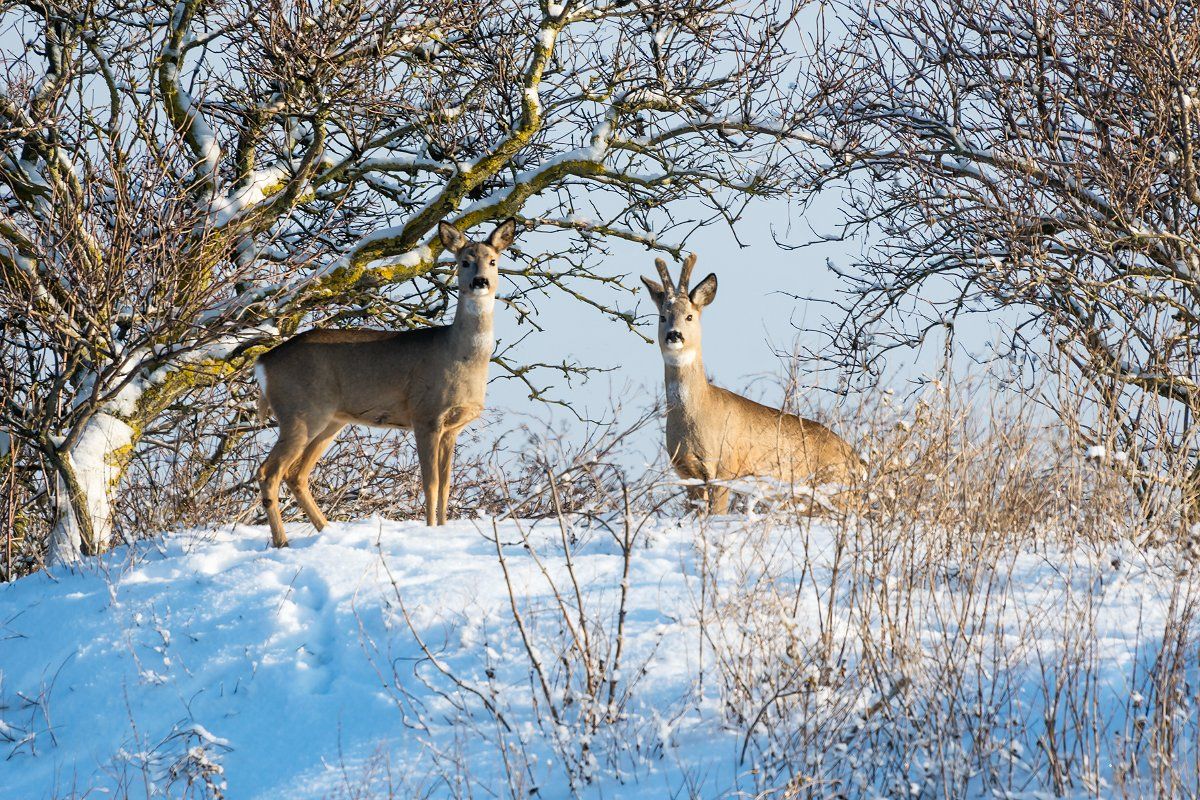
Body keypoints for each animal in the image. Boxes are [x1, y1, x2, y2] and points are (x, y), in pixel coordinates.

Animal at [253, 215, 516, 546]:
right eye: (464, 261)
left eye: (493, 261)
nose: (480, 281)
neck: (459, 355)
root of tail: (263, 362)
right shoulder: (425, 414)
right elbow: (430, 483)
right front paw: (430, 530)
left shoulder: (452, 427)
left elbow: (446, 484)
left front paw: (443, 529)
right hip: (299, 411)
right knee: (269, 472)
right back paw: (283, 541)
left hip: (330, 420)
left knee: (295, 474)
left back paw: (326, 531)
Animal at [638, 255, 864, 513]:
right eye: (662, 317)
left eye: (689, 316)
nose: (674, 335)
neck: (698, 410)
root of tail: (856, 460)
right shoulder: (688, 474)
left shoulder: (724, 469)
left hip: (837, 489)